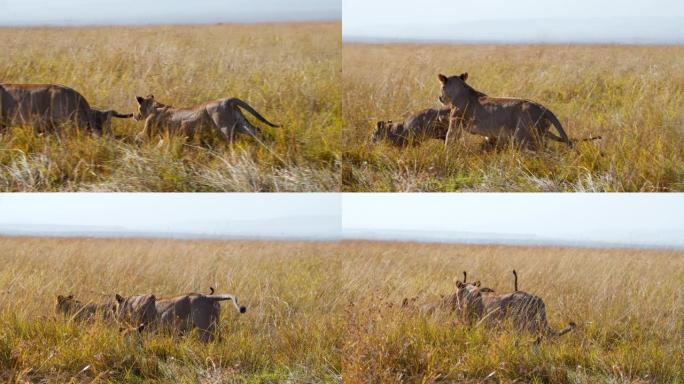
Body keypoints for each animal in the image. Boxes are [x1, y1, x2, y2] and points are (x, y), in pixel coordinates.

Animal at [135, 94, 280, 142]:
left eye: (138, 108)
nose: (134, 115)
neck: (155, 107)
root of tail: (228, 99)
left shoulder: (148, 129)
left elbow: (140, 136)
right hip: (240, 123)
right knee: (256, 130)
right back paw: (264, 146)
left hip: (224, 126)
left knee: (233, 139)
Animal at [438, 73, 600, 150]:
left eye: (441, 88)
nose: (439, 97)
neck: (461, 91)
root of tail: (543, 107)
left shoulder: (455, 122)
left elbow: (449, 139)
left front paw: (447, 154)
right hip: (540, 134)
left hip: (524, 137)